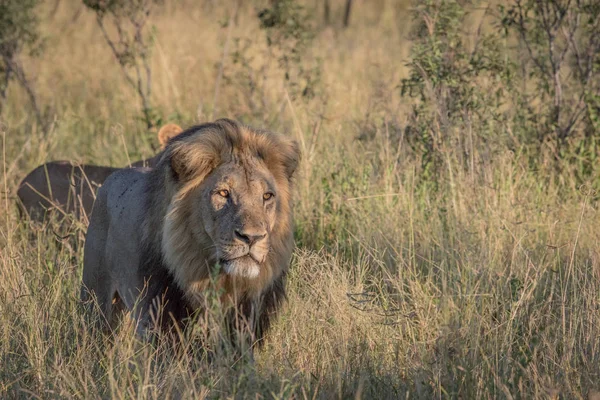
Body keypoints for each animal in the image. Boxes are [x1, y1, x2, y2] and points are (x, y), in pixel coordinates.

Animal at [79, 117, 300, 348]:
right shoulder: (161, 317)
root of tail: (113, 175)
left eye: (267, 196)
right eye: (223, 193)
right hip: (95, 297)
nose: (252, 237)